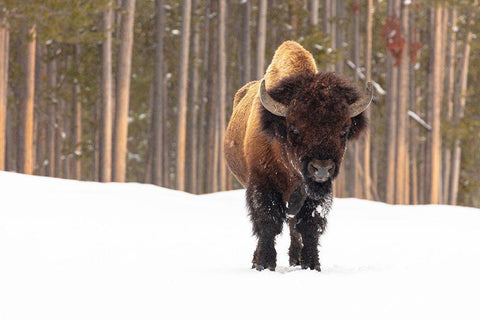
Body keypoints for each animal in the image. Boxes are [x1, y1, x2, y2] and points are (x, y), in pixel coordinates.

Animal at [223, 39, 374, 270]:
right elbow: (267, 223)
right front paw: (265, 264)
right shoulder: (262, 182)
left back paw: (295, 260)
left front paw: (312, 265)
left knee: (294, 226)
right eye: (294, 128)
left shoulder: (315, 194)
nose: (322, 168)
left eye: (344, 130)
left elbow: (309, 226)